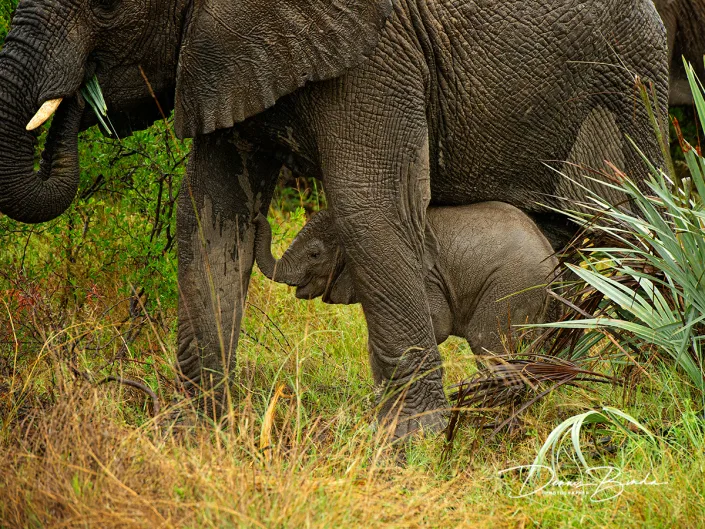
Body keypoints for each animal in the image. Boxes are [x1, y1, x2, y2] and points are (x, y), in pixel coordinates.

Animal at [254, 203, 559, 357]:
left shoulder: (424, 277)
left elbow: (437, 325)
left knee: (487, 342)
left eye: (315, 254)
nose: (256, 215)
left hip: (512, 286)